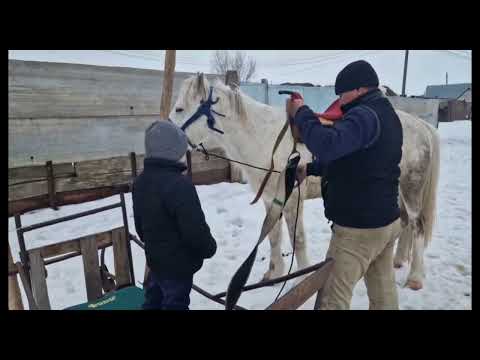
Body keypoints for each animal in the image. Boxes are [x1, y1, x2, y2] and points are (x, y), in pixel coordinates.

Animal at [169, 73, 438, 290]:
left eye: (180, 109)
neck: (264, 138)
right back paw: (398, 261)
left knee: (417, 226)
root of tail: (421, 125)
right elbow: (273, 236)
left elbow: (297, 240)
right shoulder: (271, 199)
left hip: (411, 189)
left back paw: (415, 278)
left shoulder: (292, 199)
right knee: (404, 223)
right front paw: (273, 275)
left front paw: (299, 279)